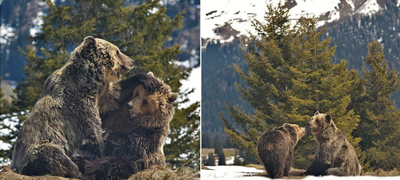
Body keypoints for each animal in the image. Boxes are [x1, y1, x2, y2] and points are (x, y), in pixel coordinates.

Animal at [11, 35, 161, 178]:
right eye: (118, 51)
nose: (131, 61)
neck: (89, 81)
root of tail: (15, 167)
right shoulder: (79, 104)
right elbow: (93, 132)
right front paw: (103, 151)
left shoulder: (100, 95)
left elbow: (116, 95)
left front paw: (148, 79)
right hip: (34, 152)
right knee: (51, 152)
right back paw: (76, 170)